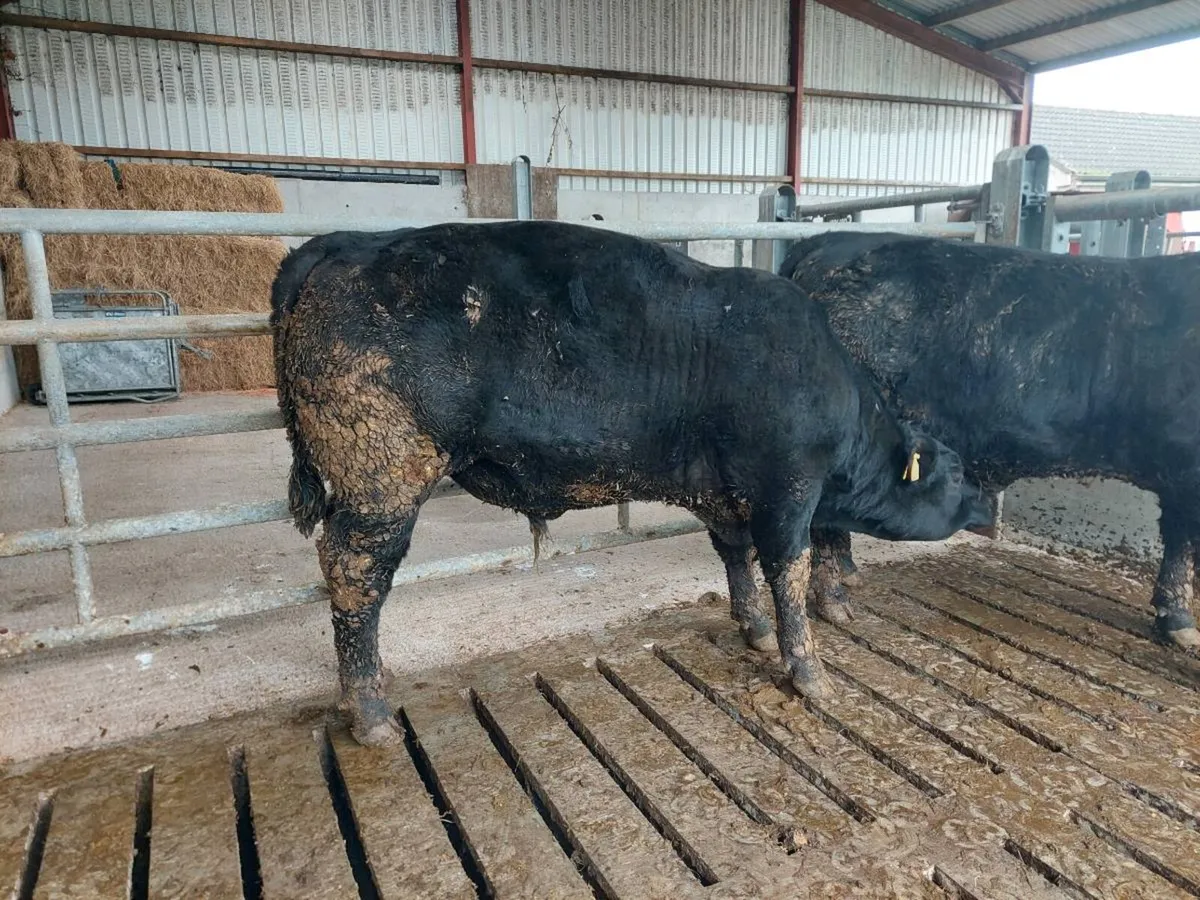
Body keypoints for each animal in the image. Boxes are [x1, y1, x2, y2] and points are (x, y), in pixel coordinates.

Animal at [271, 220, 993, 745]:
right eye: (956, 470)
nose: (987, 503)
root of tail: (347, 242)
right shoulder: (788, 490)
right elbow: (789, 570)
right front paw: (809, 671)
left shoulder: (724, 494)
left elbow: (736, 557)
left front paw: (753, 627)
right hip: (381, 473)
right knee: (355, 575)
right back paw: (371, 714)